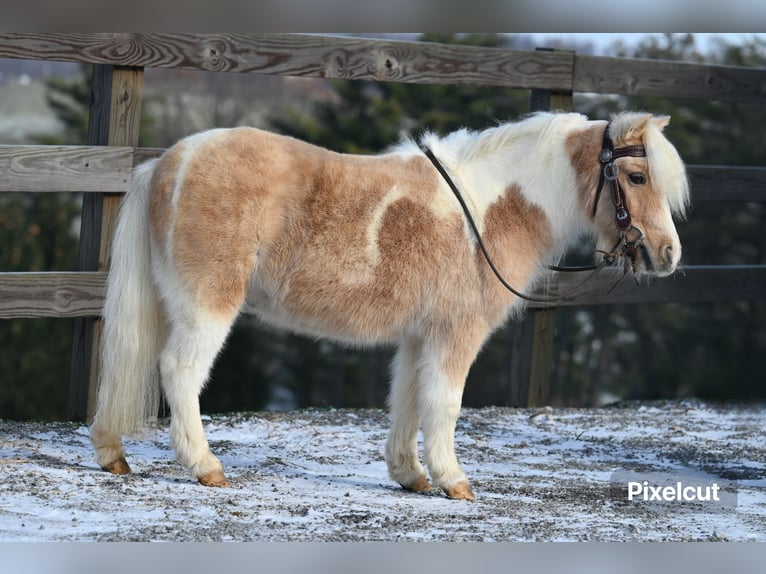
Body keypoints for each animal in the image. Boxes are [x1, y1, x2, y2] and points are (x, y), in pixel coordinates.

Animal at [88, 111, 688, 500]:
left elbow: (408, 402)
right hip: (207, 305)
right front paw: (454, 482)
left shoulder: (419, 335)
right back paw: (206, 466)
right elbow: (444, 405)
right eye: (636, 177)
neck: (490, 211)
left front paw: (411, 476)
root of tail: (168, 163)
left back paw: (112, 453)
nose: (667, 254)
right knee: (179, 370)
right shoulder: (455, 333)